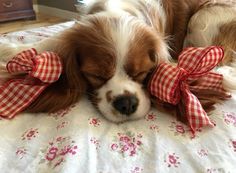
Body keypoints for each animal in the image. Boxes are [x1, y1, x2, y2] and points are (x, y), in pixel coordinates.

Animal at [0, 0, 233, 123]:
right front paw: (10, 51)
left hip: (203, 18)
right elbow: (52, 40)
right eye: (96, 75)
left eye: (142, 73)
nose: (126, 103)